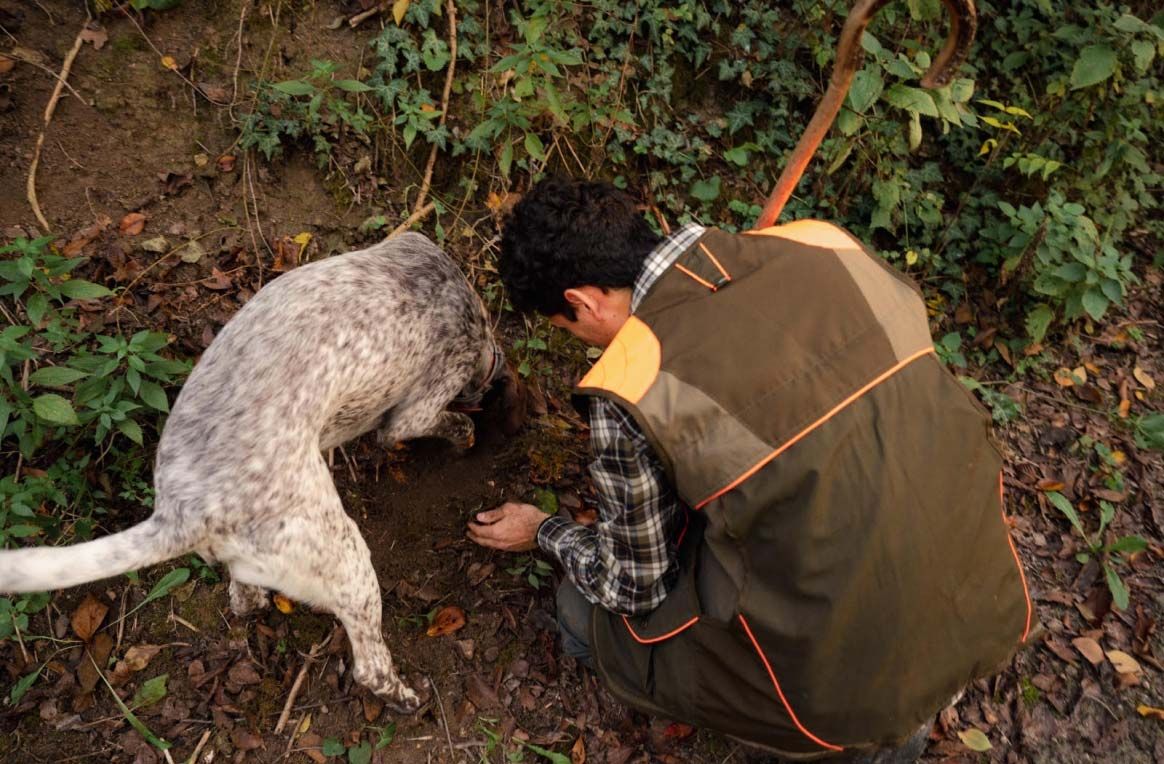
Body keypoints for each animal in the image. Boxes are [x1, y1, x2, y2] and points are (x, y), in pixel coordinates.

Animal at [0, 234, 519, 717]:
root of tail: (183, 513)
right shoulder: (418, 409)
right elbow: (441, 423)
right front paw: (466, 434)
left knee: (243, 598)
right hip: (348, 560)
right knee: (370, 666)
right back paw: (405, 697)